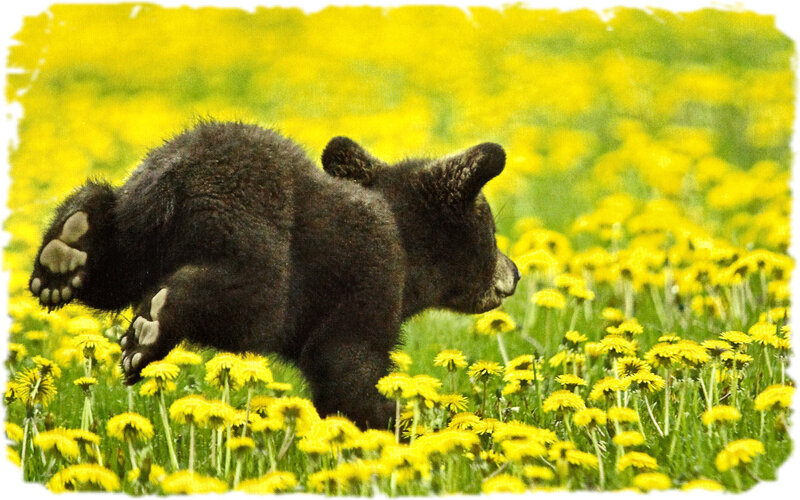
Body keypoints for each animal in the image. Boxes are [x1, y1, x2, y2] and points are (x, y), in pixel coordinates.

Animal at [28, 121, 520, 429]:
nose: (514, 274)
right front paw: (403, 424)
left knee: (112, 270)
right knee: (251, 297)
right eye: (492, 232)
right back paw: (150, 327)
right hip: (253, 233)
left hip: (139, 227)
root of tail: (176, 174)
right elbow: (345, 365)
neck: (409, 255)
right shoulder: (372, 279)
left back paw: (63, 253)